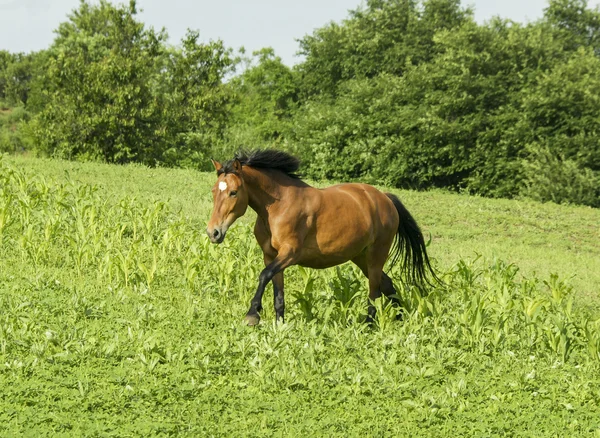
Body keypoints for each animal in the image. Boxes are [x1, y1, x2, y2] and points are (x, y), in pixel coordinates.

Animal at [206, 151, 436, 326]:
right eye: (214, 191)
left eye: (233, 192)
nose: (213, 233)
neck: (279, 206)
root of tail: (385, 199)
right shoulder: (271, 256)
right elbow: (277, 292)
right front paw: (280, 326)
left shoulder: (290, 253)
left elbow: (263, 276)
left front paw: (252, 315)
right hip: (361, 257)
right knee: (387, 285)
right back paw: (399, 319)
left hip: (376, 255)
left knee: (374, 292)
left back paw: (369, 325)